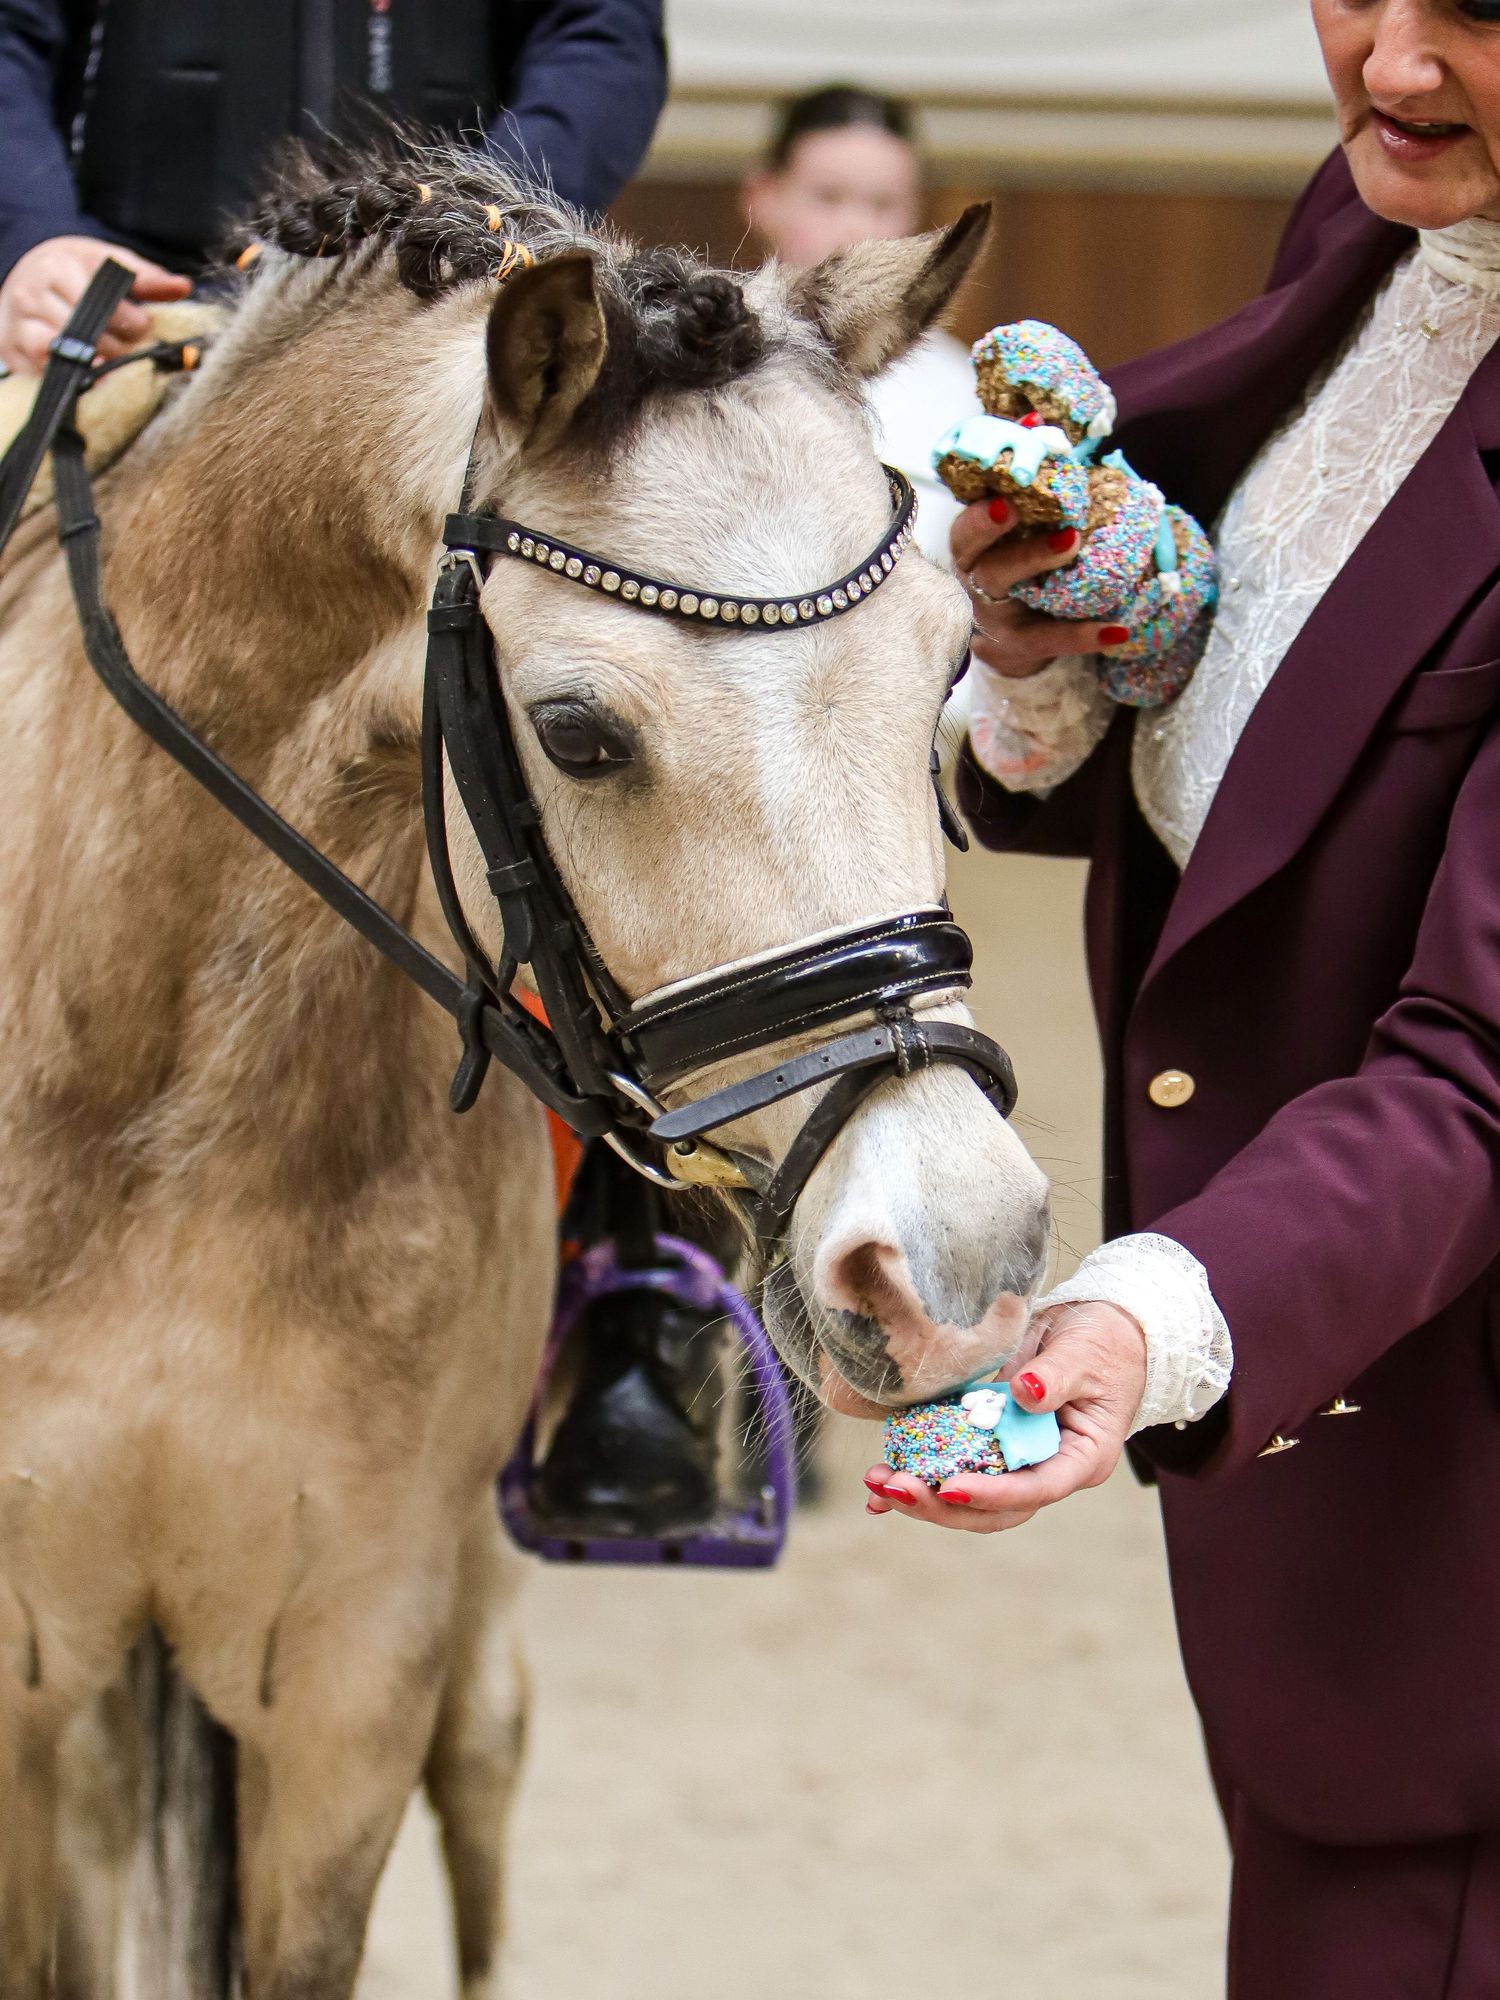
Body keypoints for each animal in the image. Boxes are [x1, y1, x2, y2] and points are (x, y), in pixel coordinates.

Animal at [0, 144, 1050, 1997]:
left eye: (947, 665)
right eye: (578, 734)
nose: (961, 1252)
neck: (164, 1103)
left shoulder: (356, 1669)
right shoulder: (23, 1679)